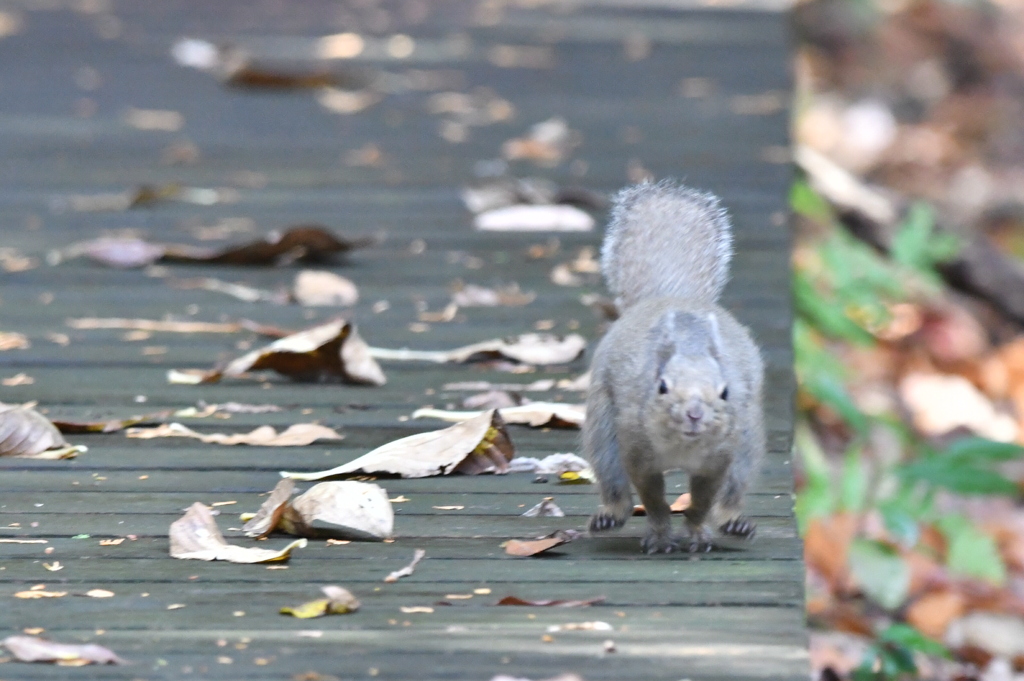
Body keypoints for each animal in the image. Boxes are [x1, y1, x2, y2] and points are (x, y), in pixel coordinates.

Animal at [581, 176, 765, 552]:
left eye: (725, 392)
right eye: (662, 386)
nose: (694, 414)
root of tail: (670, 296)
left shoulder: (719, 461)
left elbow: (702, 502)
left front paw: (695, 534)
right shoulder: (638, 452)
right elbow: (653, 500)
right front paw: (661, 536)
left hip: (747, 443)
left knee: (731, 495)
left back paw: (733, 522)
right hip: (603, 432)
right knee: (615, 487)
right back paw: (610, 515)